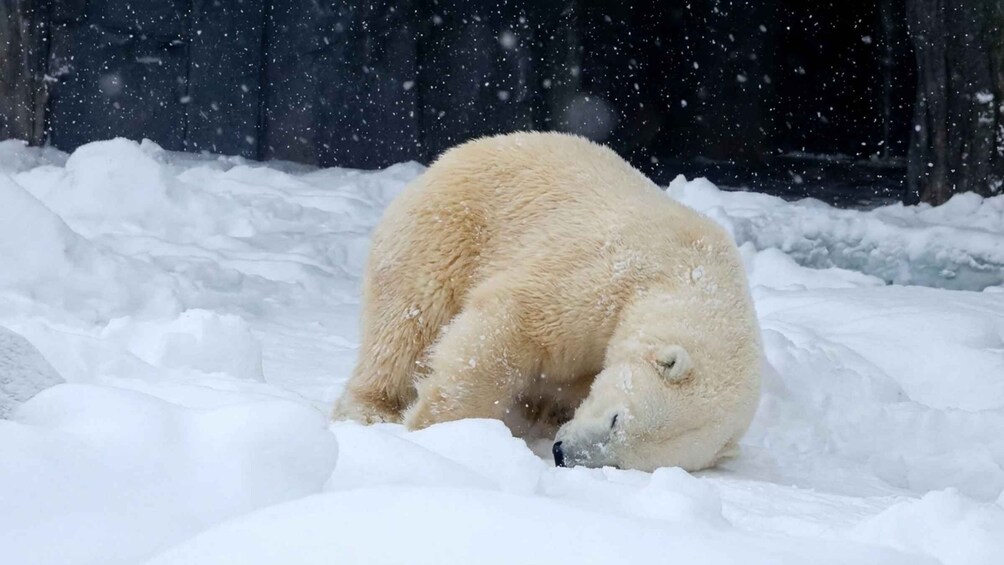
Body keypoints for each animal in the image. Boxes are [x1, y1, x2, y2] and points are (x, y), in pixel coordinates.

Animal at [332, 131, 761, 472]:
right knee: (408, 321)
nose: (562, 454)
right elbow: (512, 327)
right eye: (616, 420)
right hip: (445, 230)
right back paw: (372, 408)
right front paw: (439, 426)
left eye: (623, 463)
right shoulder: (610, 272)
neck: (694, 273)